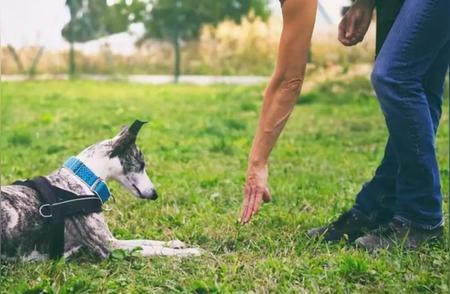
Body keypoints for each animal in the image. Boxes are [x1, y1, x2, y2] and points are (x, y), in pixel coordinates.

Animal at [0, 120, 200, 260]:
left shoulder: (113, 240)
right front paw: (191, 252)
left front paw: (175, 243)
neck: (84, 178)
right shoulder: (108, 246)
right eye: (142, 164)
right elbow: (154, 249)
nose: (154, 194)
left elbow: (145, 241)